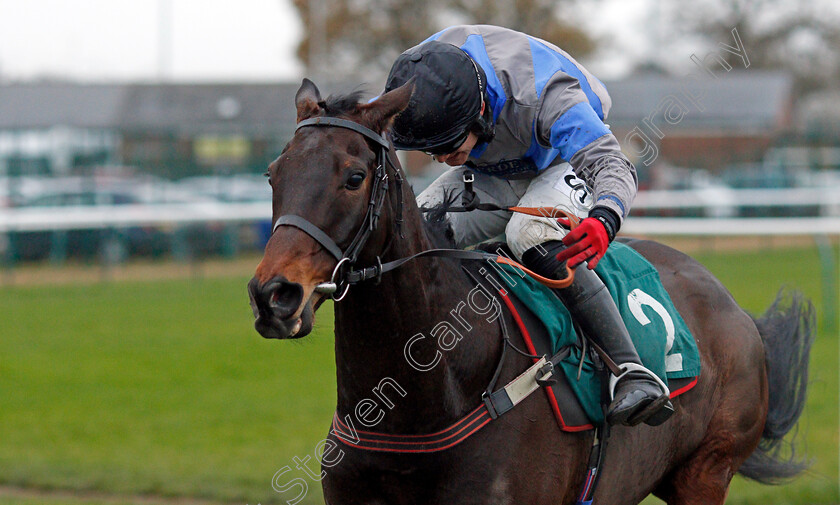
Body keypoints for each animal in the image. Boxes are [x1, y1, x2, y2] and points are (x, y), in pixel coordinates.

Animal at [248, 79, 812, 504]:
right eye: (273, 174)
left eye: (354, 176)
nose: (274, 295)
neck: (422, 405)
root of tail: (735, 308)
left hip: (705, 472)